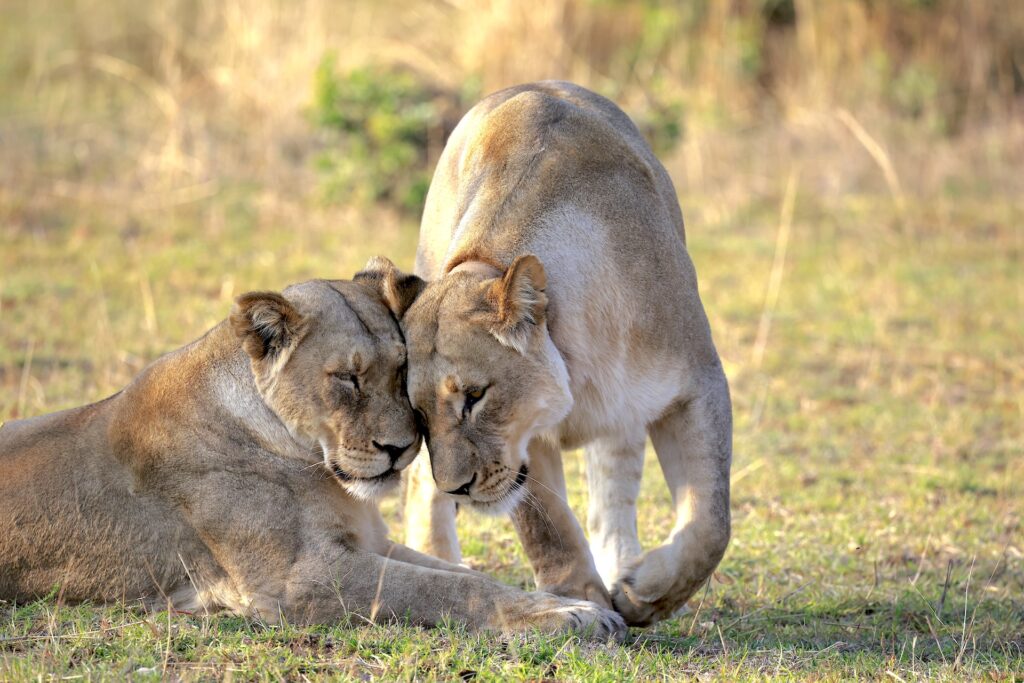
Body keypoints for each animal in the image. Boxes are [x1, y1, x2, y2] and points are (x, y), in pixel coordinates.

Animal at [0, 271, 625, 639]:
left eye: (400, 371)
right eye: (346, 378)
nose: (400, 449)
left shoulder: (365, 540)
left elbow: (460, 573)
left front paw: (563, 602)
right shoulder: (296, 579)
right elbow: (448, 587)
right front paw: (571, 615)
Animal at [392, 81, 732, 626]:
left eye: (475, 397)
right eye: (418, 413)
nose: (458, 488)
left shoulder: (696, 383)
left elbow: (710, 522)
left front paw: (644, 594)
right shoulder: (526, 439)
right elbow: (545, 523)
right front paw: (580, 599)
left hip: (628, 415)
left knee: (614, 484)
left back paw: (622, 563)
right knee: (425, 484)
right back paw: (440, 560)